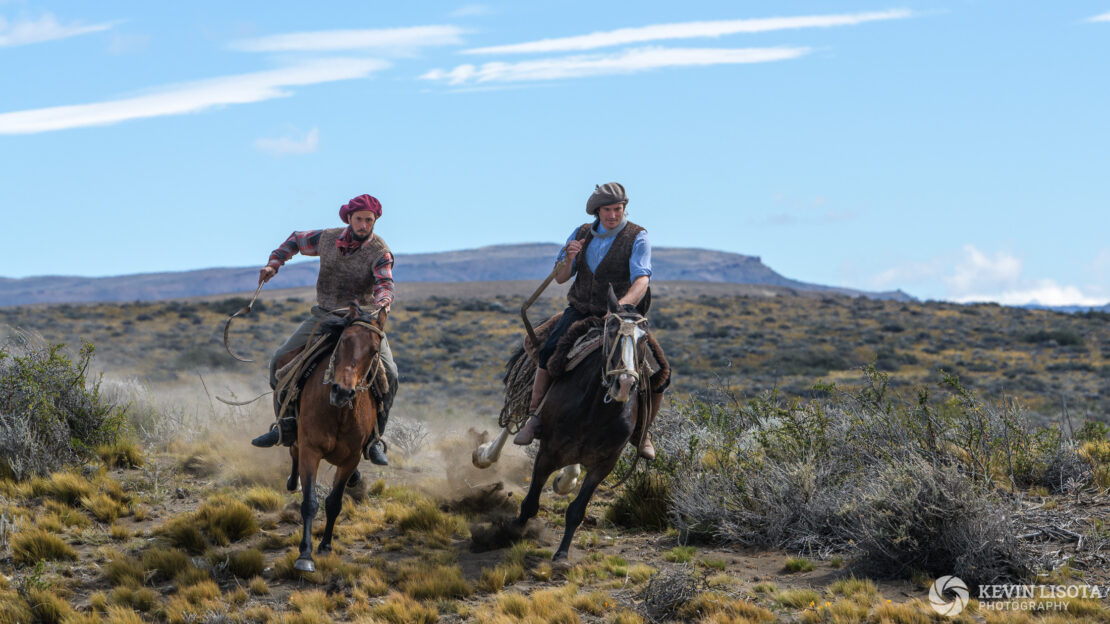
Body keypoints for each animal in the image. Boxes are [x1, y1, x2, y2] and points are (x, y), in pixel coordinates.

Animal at [281, 299, 386, 572]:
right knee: (292, 449)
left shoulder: (351, 459)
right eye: (345, 340)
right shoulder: (311, 450)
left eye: (374, 350)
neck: (339, 413)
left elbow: (334, 503)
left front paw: (326, 546)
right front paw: (305, 555)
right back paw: (292, 480)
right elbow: (310, 502)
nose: (342, 391)